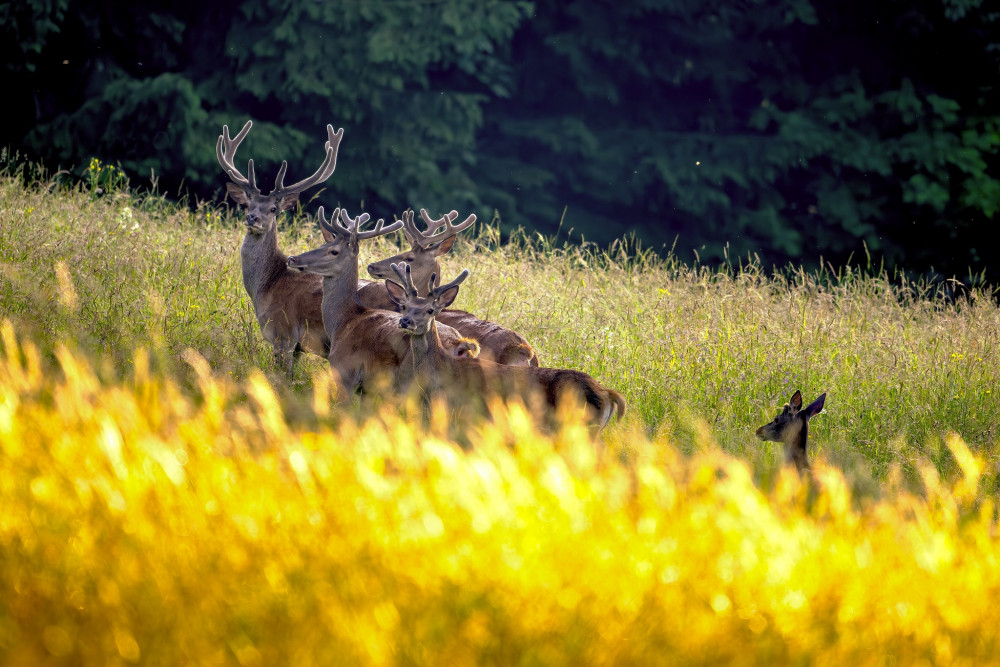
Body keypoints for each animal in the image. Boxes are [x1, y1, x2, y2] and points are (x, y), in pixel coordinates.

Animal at [217, 120, 342, 376]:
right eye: (247, 204)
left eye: (274, 209)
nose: (252, 218)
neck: (267, 286)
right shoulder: (297, 346)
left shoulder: (283, 332)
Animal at [286, 206, 480, 400]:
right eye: (321, 245)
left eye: (334, 251)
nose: (293, 259)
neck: (344, 321)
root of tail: (461, 344)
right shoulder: (366, 390)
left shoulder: (345, 371)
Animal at [384, 260, 624, 434]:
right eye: (404, 306)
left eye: (430, 310)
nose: (405, 321)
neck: (444, 372)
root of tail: (607, 393)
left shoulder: (463, 413)